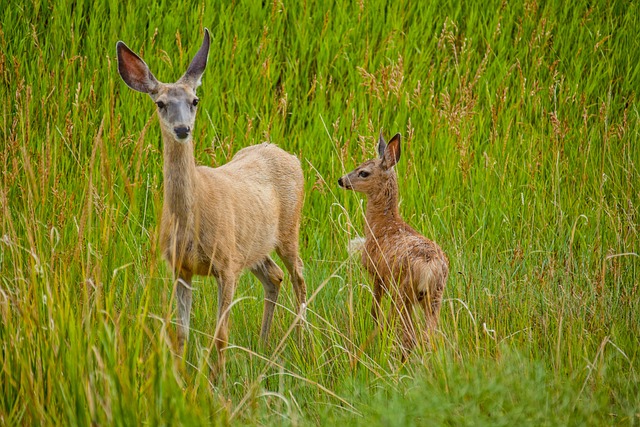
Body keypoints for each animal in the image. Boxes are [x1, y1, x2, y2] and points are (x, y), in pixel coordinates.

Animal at [117, 29, 308, 372]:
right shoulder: (180, 267)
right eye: (160, 103)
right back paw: (263, 345)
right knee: (274, 275)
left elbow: (220, 336)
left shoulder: (226, 265)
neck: (191, 219)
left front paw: (218, 379)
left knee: (299, 277)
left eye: (194, 100)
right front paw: (180, 375)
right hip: (254, 246)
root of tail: (290, 155)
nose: (182, 128)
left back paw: (301, 344)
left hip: (288, 230)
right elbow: (181, 333)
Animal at [338, 133, 448, 358]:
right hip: (435, 296)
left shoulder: (376, 273)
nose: (341, 180)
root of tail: (429, 267)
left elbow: (375, 310)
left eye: (363, 172)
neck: (382, 224)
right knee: (430, 335)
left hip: (404, 292)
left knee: (409, 335)